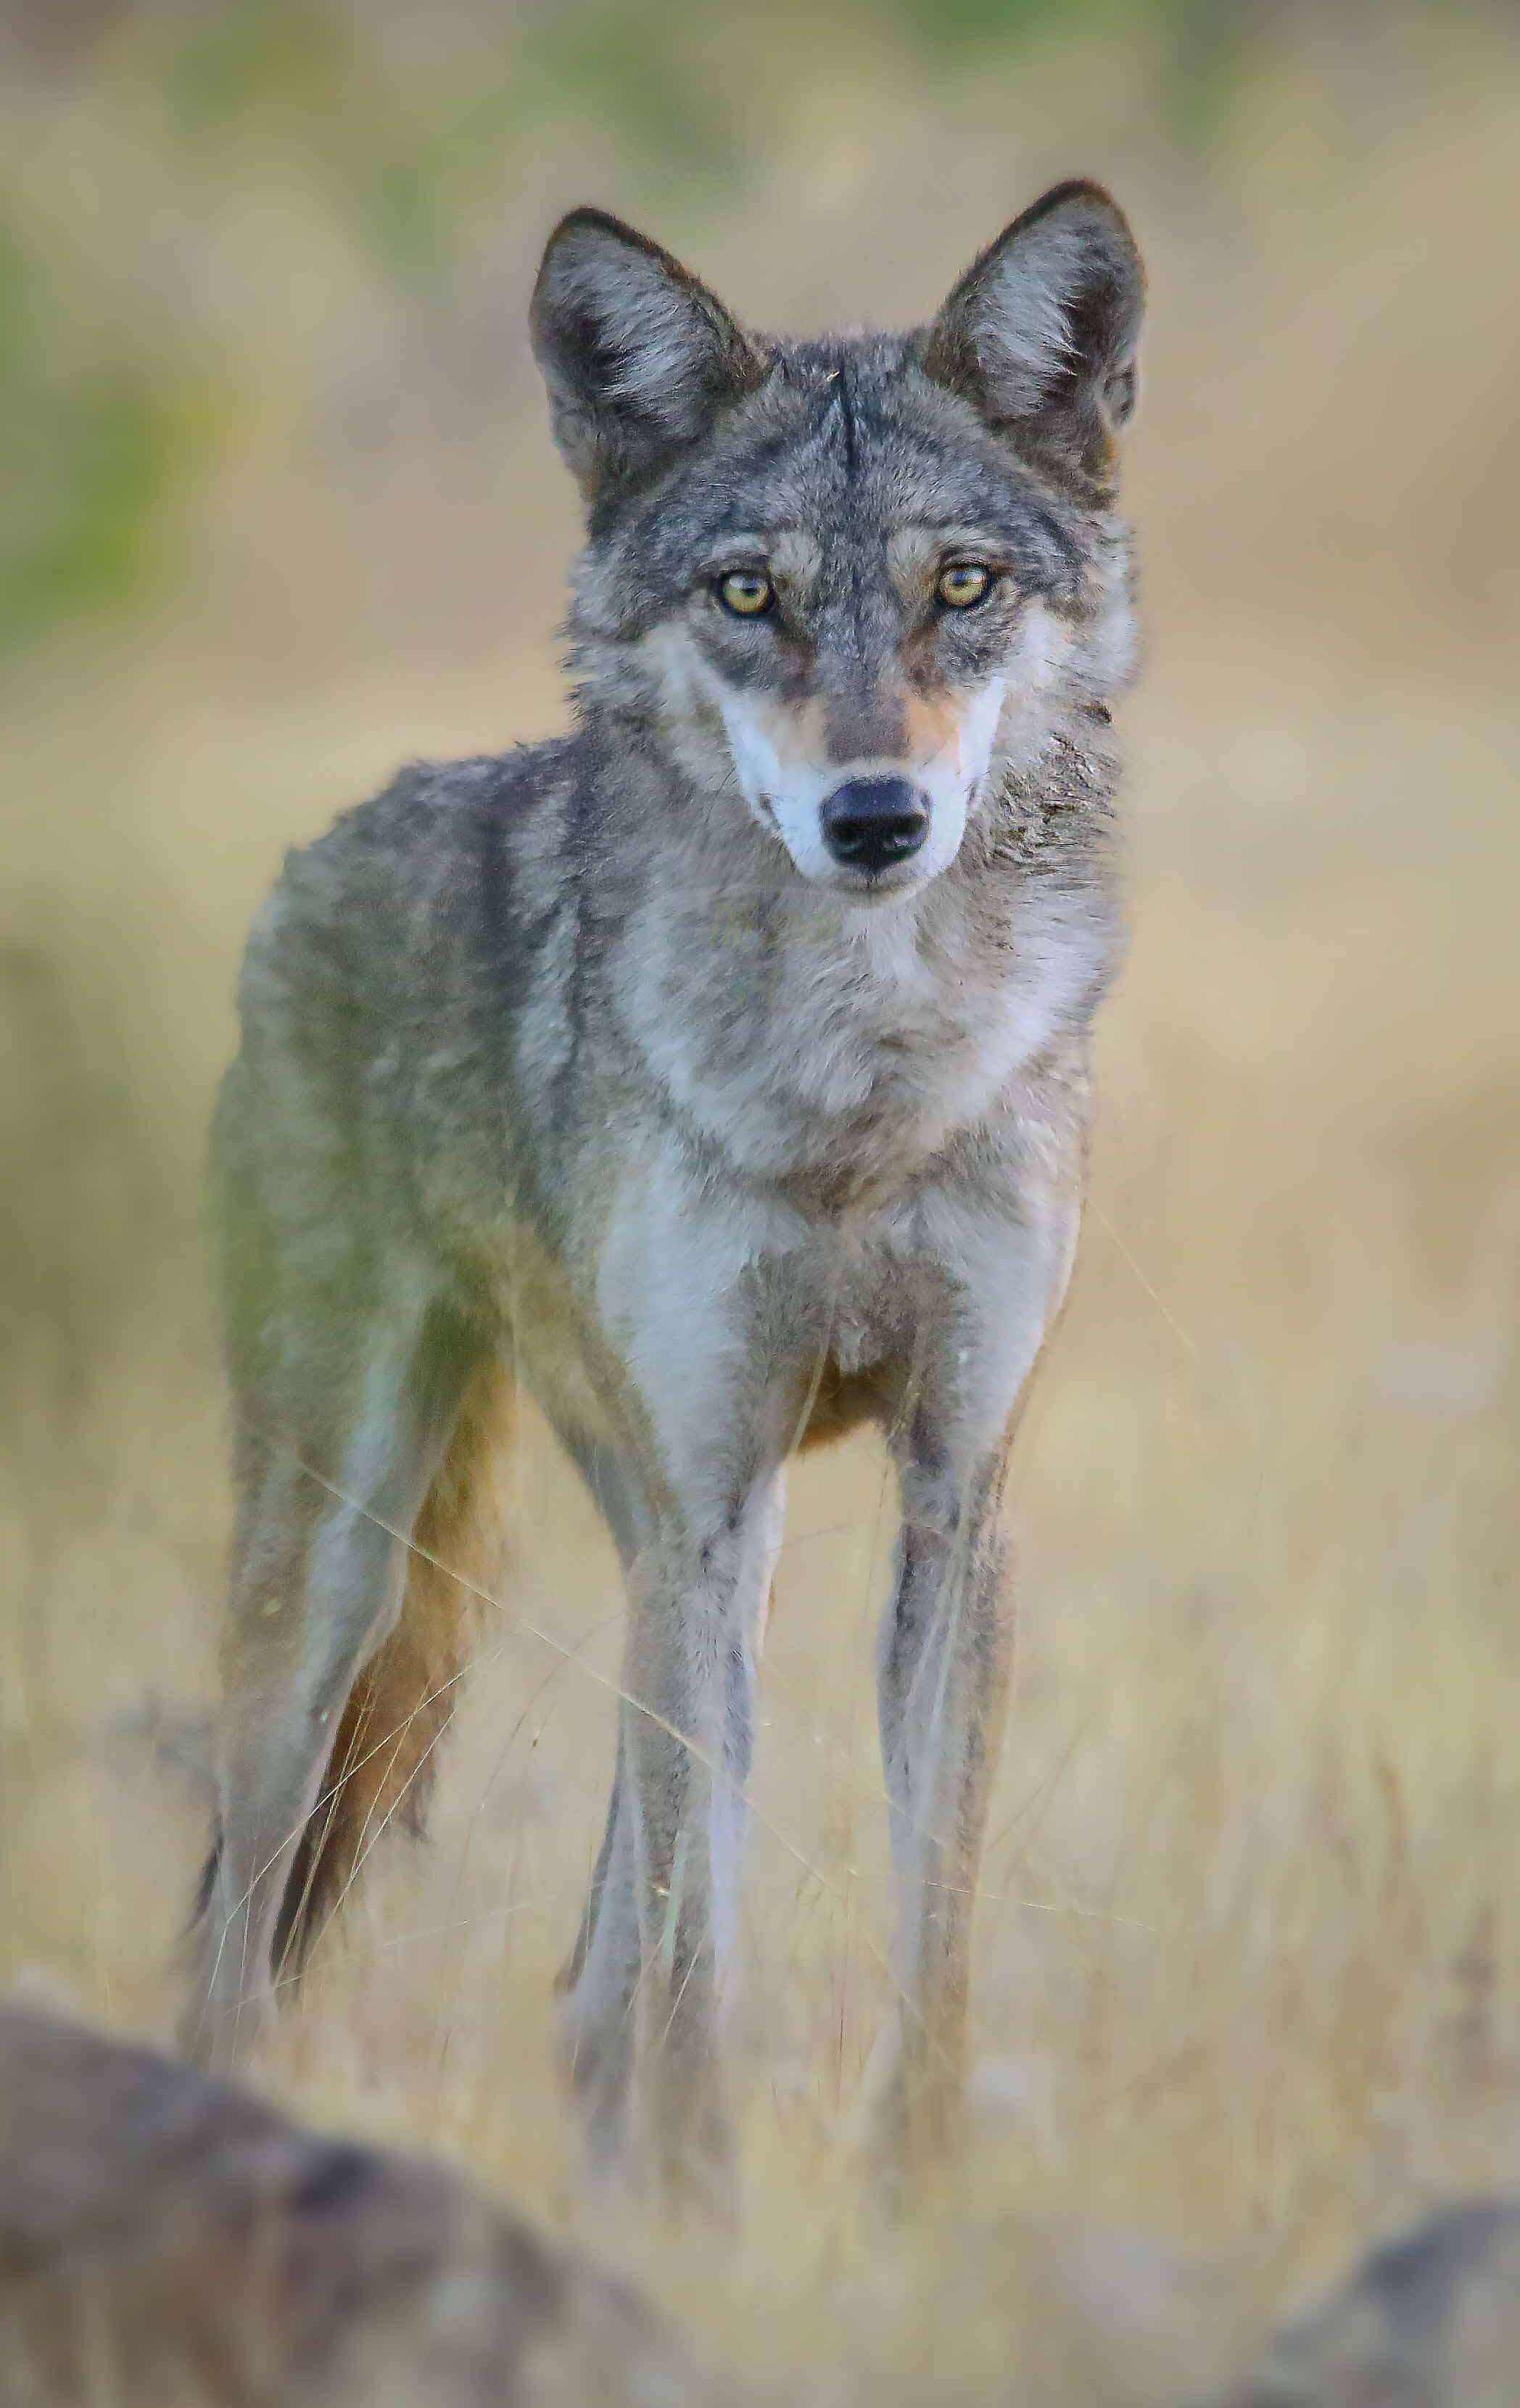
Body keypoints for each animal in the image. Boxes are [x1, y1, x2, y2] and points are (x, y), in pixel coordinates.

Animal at [181, 178, 1141, 2195]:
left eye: (960, 587)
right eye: (746, 595)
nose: (875, 818)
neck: (860, 1085)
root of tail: (317, 852)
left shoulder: (953, 1493)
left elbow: (921, 1916)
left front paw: (907, 2191)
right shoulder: (708, 1488)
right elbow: (709, 1924)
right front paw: (705, 2196)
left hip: (694, 1535)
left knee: (588, 1944)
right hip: (350, 1558)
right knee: (240, 1909)